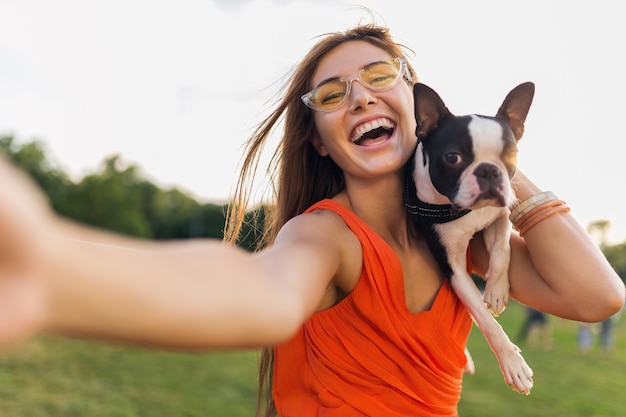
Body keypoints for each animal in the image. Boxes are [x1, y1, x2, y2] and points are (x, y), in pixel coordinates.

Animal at [408, 82, 532, 394]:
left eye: (511, 156)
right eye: (453, 157)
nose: (488, 170)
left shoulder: (501, 212)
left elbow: (502, 251)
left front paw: (497, 291)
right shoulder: (454, 271)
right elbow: (485, 320)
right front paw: (513, 364)